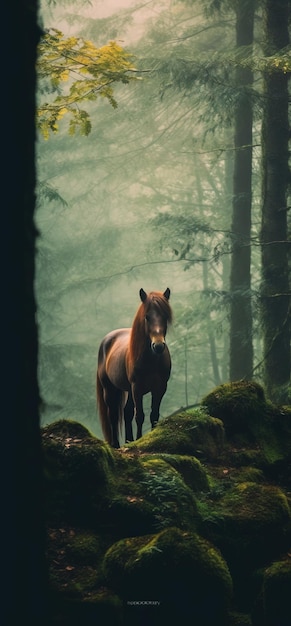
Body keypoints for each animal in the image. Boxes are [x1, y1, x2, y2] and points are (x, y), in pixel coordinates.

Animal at [97, 290, 172, 446]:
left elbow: (154, 414)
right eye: (147, 317)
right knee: (113, 414)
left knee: (127, 412)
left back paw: (128, 441)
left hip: (128, 390)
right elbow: (140, 416)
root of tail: (107, 340)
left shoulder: (160, 387)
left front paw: (152, 438)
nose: (158, 346)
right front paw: (139, 439)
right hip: (110, 388)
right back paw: (116, 445)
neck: (152, 360)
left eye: (165, 316)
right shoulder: (137, 388)